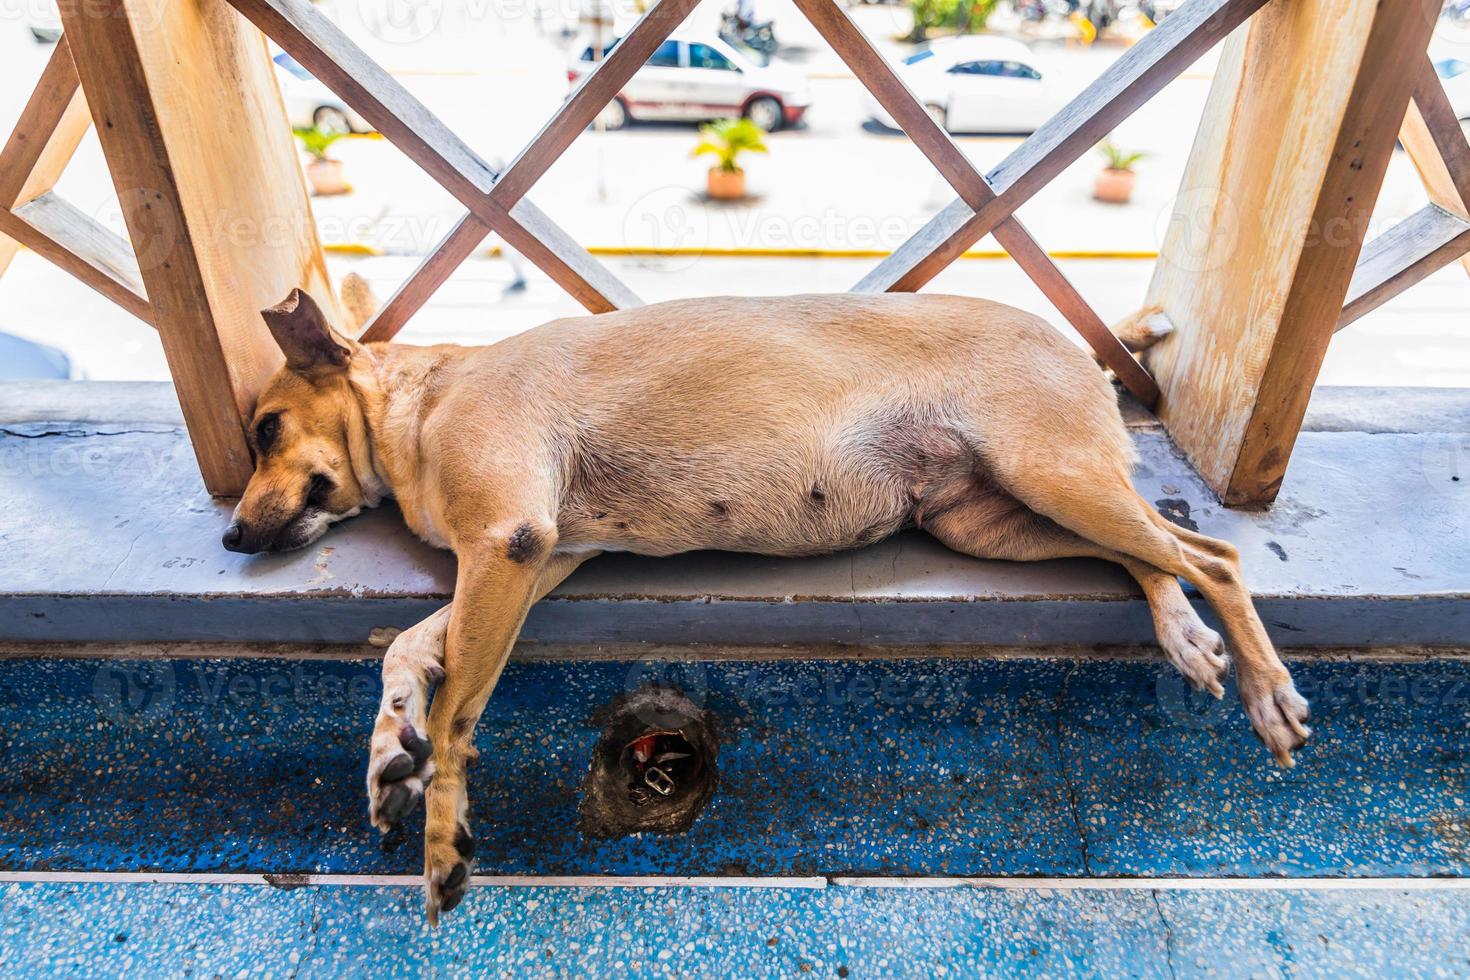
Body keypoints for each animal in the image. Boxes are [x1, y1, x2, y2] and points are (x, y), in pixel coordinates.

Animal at [220, 279, 1311, 922]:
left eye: (267, 428)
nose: (230, 537)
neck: (427, 400)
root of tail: (1085, 345)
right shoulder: (537, 558)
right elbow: (405, 651)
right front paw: (386, 748)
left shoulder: (509, 547)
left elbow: (456, 718)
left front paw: (441, 832)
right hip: (999, 517)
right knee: (1159, 554)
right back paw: (1182, 632)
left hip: (1053, 473)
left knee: (1215, 555)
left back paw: (1266, 689)